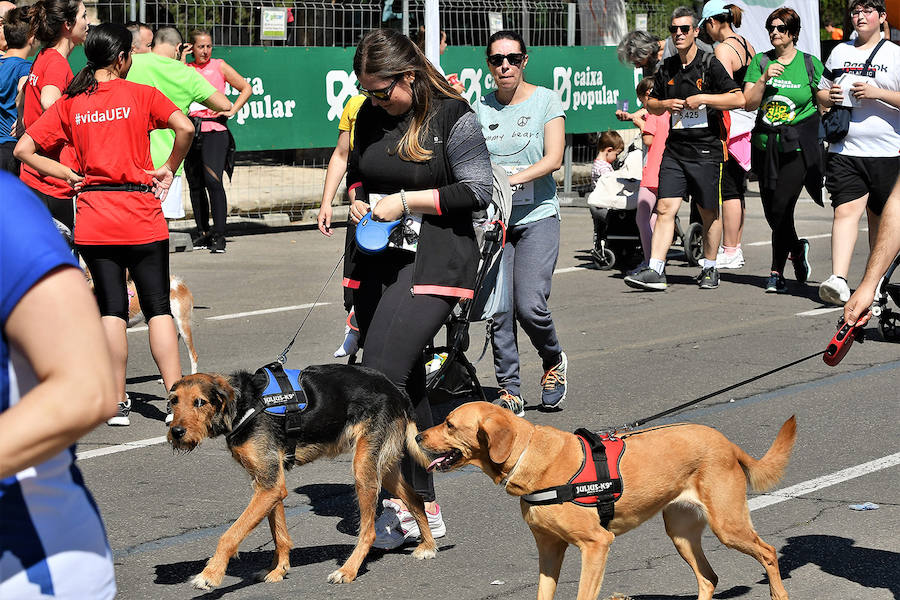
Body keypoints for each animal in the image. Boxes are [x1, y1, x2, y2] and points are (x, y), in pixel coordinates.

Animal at [168, 364, 436, 588]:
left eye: (200, 402)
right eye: (173, 402)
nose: (176, 432)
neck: (243, 404)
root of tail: (397, 392)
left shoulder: (269, 486)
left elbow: (230, 535)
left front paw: (210, 574)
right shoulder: (270, 484)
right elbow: (279, 534)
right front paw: (278, 569)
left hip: (363, 469)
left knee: (368, 532)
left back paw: (348, 570)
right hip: (383, 466)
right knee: (415, 498)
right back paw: (428, 546)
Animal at [418, 400, 800, 600]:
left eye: (449, 424)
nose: (418, 435)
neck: (528, 454)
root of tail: (726, 442)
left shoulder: (596, 544)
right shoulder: (549, 549)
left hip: (728, 526)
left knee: (767, 552)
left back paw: (778, 594)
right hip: (681, 533)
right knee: (708, 578)